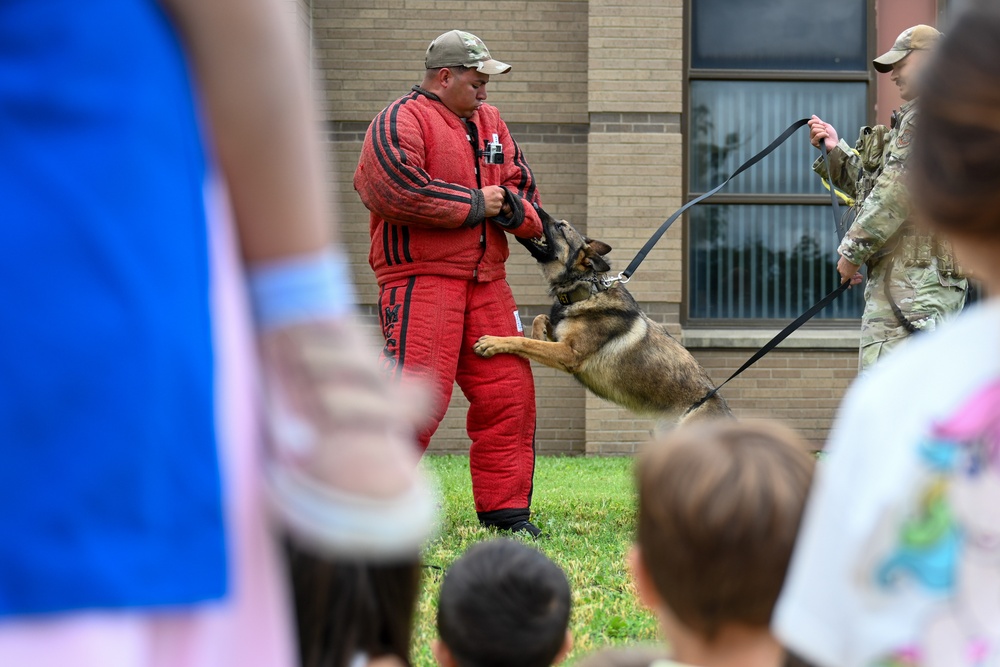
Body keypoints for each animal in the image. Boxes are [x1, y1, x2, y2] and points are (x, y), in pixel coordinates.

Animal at [472, 211, 732, 426]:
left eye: (561, 227)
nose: (533, 207)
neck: (587, 291)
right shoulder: (561, 340)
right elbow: (540, 318)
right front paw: (539, 332)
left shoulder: (569, 354)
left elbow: (523, 341)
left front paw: (493, 342)